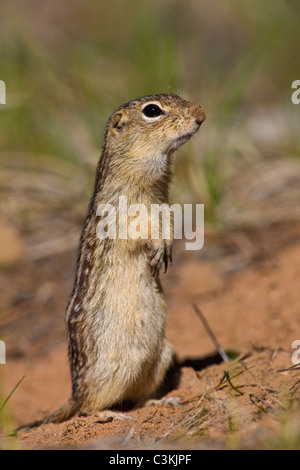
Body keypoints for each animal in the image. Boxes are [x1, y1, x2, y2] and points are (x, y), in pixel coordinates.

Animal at [39, 93, 205, 424]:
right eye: (152, 111)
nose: (201, 114)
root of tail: (74, 391)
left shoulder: (163, 205)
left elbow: (168, 224)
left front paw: (166, 249)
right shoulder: (124, 214)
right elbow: (139, 232)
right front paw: (157, 248)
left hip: (159, 358)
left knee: (136, 399)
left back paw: (161, 402)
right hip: (113, 373)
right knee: (87, 407)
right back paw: (111, 416)